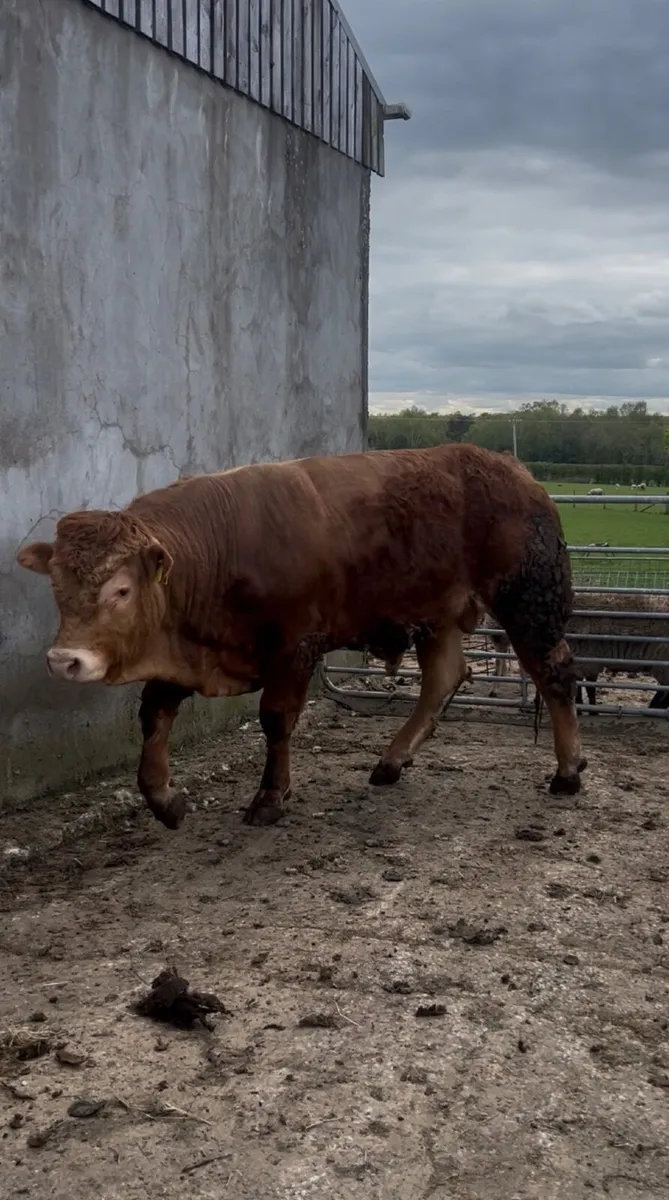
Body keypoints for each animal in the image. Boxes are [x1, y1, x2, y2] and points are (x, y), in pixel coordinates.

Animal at [16, 443, 586, 830]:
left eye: (121, 589)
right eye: (57, 586)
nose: (65, 660)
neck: (220, 548)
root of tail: (513, 470)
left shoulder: (294, 648)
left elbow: (275, 719)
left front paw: (270, 797)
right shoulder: (187, 653)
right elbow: (154, 716)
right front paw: (165, 800)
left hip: (528, 601)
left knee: (555, 673)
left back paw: (568, 771)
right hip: (436, 613)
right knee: (443, 678)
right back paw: (391, 762)